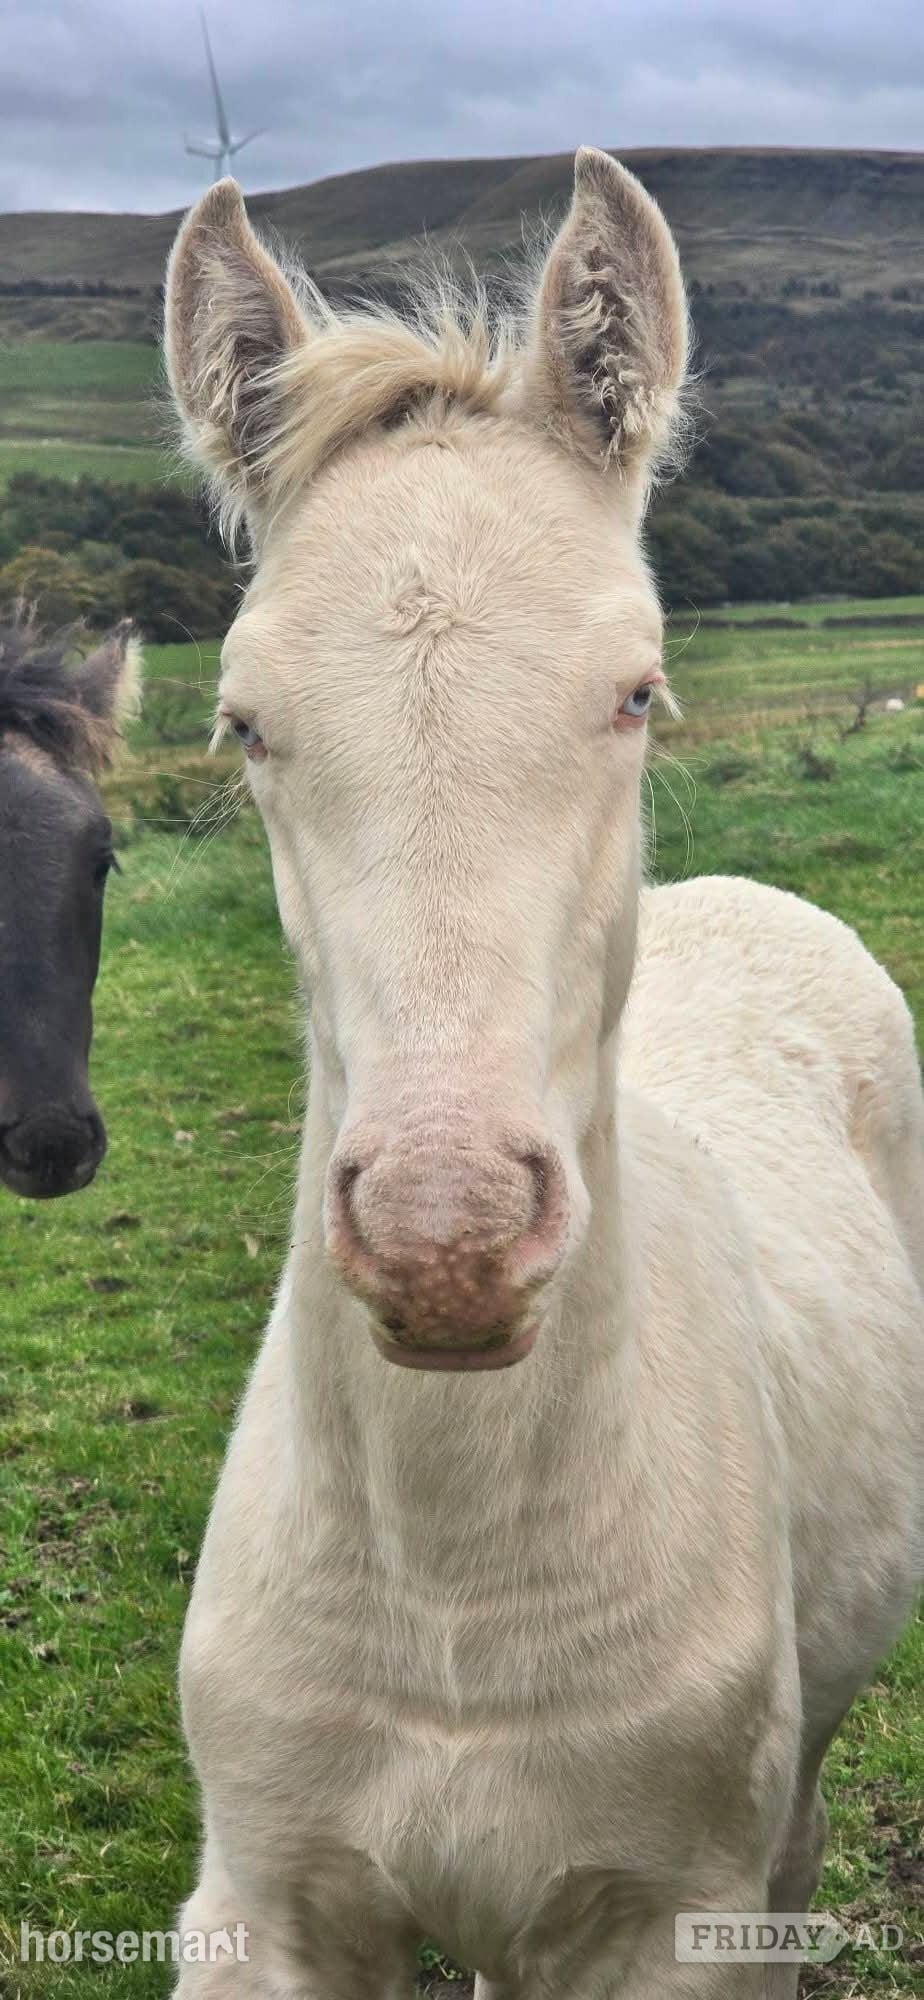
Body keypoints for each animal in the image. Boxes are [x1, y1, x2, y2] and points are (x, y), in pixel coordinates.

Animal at [163, 149, 924, 1998]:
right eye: (243, 722)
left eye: (635, 691)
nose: (443, 1243)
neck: (455, 1596)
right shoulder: (261, 1907)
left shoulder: (670, 1921)